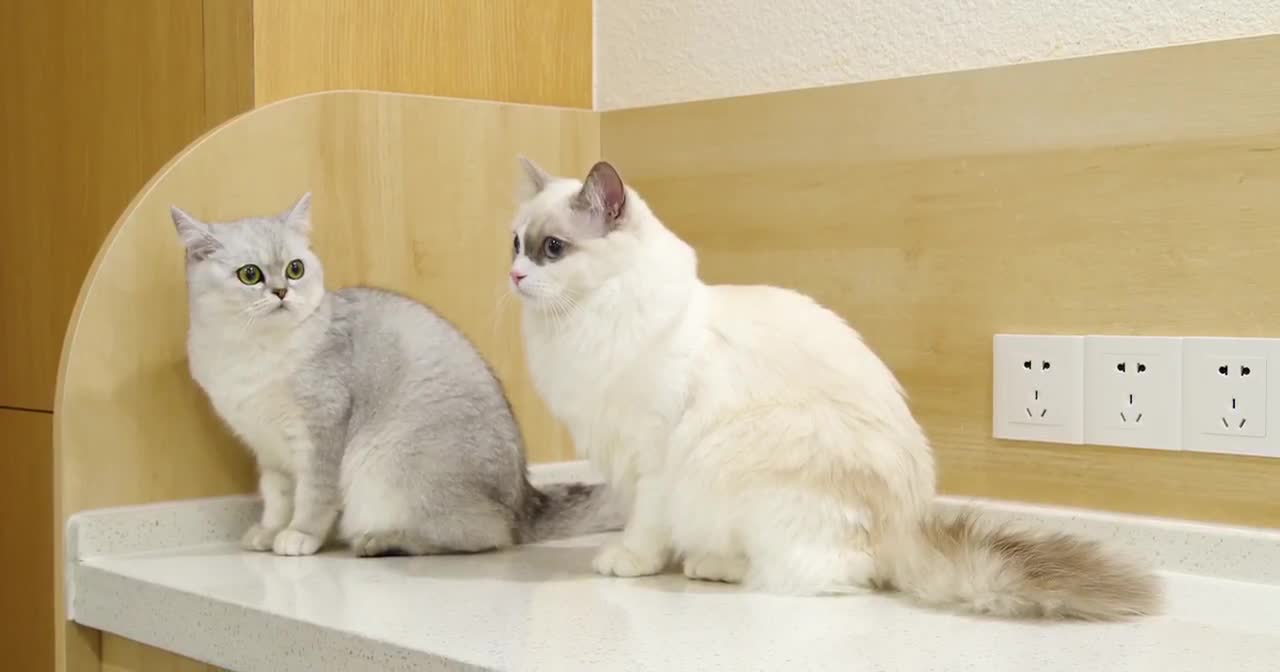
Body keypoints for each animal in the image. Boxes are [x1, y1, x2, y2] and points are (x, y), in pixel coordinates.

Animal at [172, 192, 622, 555]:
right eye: (250, 275)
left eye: (296, 269)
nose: (282, 292)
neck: (252, 352)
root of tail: (524, 504)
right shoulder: (268, 448)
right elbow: (277, 497)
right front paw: (269, 531)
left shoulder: (320, 431)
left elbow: (312, 496)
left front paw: (299, 535)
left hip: (388, 466)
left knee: (484, 536)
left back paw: (382, 541)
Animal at [506, 158, 1162, 619]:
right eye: (516, 244)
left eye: (552, 250)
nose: (514, 275)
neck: (590, 322)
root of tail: (906, 528)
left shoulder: (654, 457)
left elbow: (644, 525)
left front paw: (629, 563)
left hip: (742, 460)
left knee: (825, 574)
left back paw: (710, 566)